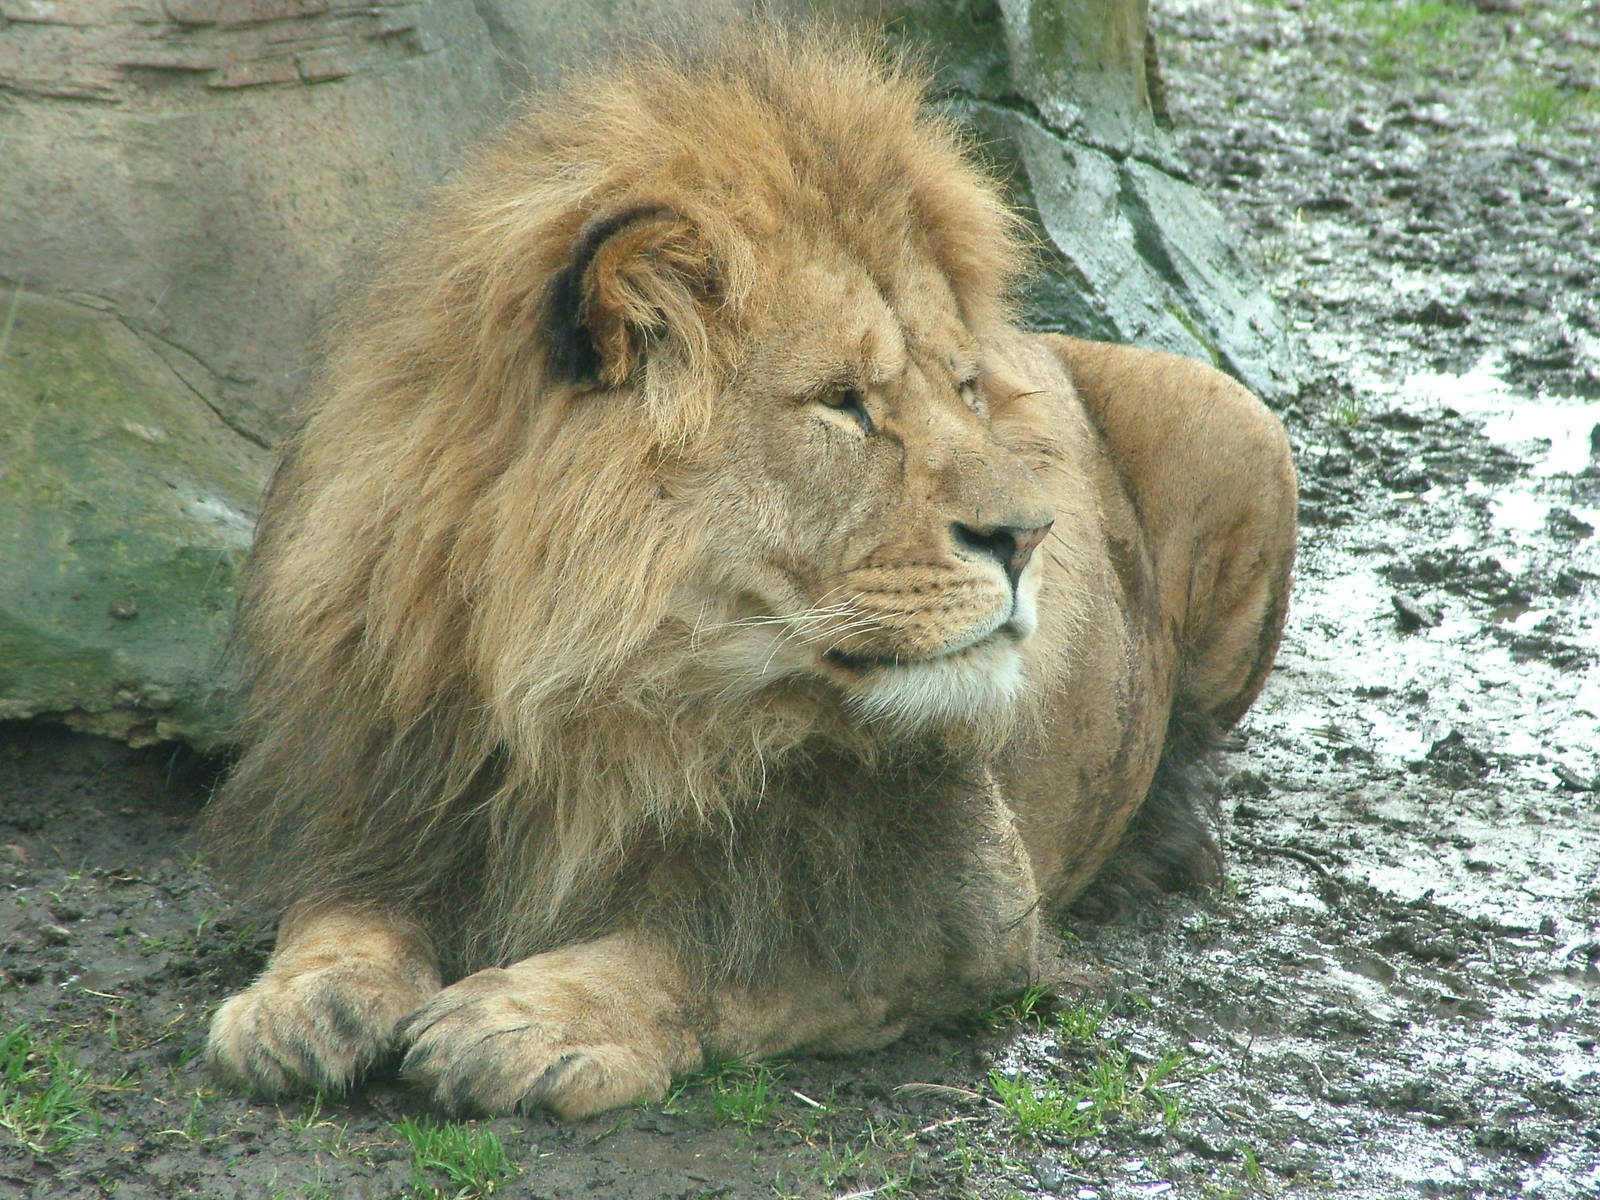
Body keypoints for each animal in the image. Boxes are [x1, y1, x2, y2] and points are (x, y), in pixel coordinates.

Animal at [202, 27, 1296, 1120]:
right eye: (843, 402)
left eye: (967, 389)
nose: (1031, 536)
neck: (613, 714)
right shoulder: (384, 791)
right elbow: (340, 905)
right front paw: (301, 1000)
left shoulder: (960, 910)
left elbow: (709, 960)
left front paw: (524, 1019)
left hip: (1240, 422)